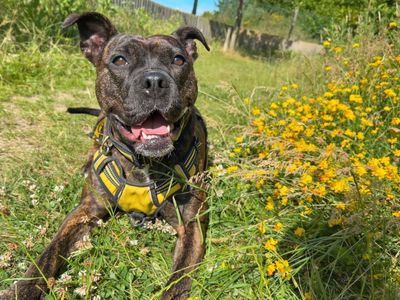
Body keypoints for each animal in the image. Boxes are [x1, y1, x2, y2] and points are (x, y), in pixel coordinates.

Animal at [0, 11, 211, 300]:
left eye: (179, 60)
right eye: (119, 60)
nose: (155, 81)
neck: (142, 163)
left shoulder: (190, 226)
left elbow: (177, 284)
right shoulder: (85, 212)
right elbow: (48, 255)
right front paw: (21, 289)